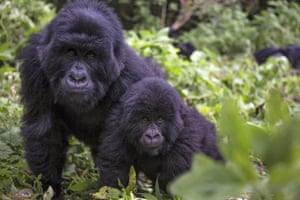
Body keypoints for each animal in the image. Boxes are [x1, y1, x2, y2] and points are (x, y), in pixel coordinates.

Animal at [18, 0, 163, 198]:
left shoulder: (133, 82)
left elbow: (116, 151)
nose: (77, 78)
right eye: (71, 52)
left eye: (91, 55)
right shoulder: (35, 63)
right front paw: (50, 188)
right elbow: (45, 133)